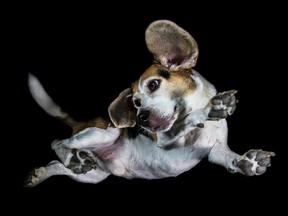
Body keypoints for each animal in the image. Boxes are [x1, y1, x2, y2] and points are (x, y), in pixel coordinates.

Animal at [24, 19, 274, 187]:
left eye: (153, 84)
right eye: (135, 103)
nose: (141, 119)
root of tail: (82, 123)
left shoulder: (215, 151)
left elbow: (229, 158)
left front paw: (247, 163)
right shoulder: (164, 139)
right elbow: (187, 120)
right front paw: (212, 108)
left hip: (94, 175)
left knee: (60, 164)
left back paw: (47, 172)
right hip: (104, 133)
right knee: (58, 142)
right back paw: (68, 156)